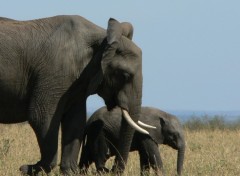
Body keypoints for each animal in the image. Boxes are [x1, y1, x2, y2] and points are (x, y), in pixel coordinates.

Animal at [0, 15, 148, 175]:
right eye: (125, 75)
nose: (109, 169)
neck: (102, 37)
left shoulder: (78, 82)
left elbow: (76, 121)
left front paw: (70, 171)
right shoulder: (55, 73)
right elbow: (41, 117)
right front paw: (27, 168)